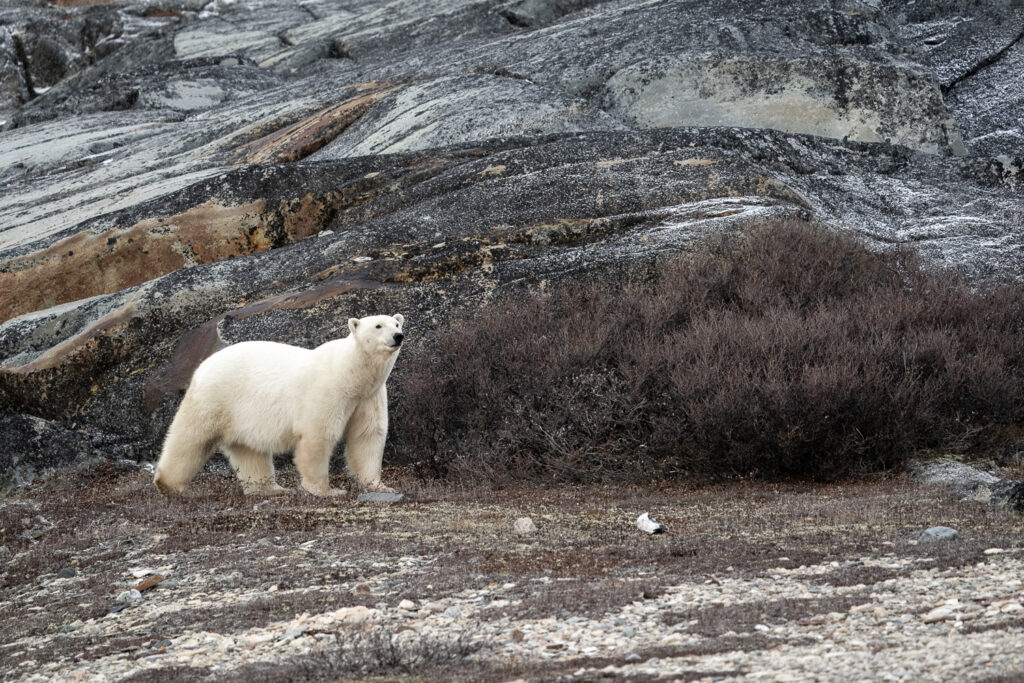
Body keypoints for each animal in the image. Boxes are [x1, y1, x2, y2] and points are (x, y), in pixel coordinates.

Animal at [153, 313, 405, 497]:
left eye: (396, 323)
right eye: (378, 326)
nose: (398, 336)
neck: (351, 372)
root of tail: (203, 364)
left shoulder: (368, 397)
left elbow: (367, 435)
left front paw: (379, 485)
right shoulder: (327, 390)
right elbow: (317, 436)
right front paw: (327, 490)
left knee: (250, 452)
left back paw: (272, 488)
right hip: (216, 397)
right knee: (192, 438)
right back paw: (168, 485)